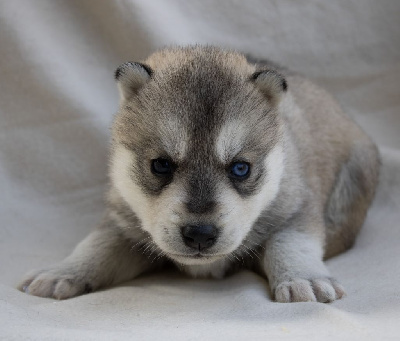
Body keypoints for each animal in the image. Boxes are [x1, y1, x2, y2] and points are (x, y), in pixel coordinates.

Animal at [19, 44, 382, 300]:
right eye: (160, 165)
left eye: (241, 168)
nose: (200, 234)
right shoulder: (122, 221)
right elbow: (97, 244)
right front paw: (64, 271)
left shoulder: (295, 208)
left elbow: (291, 242)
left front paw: (304, 278)